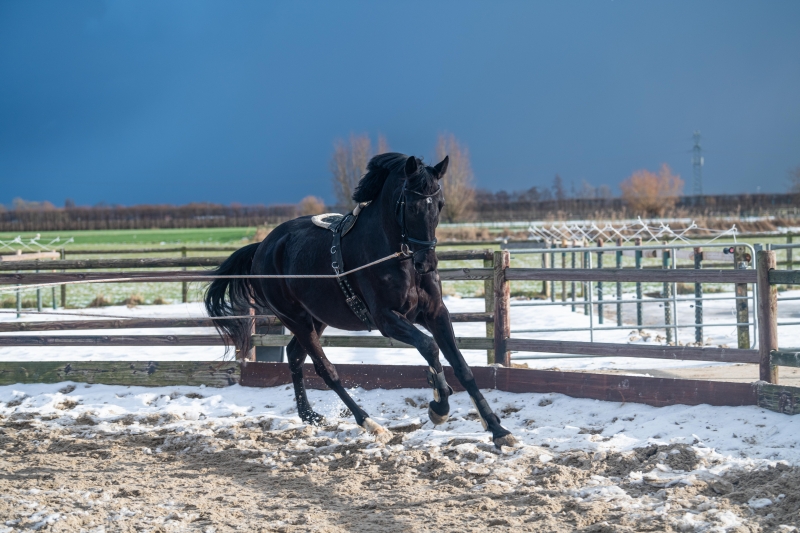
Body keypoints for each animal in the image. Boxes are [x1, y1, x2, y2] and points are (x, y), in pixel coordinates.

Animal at [206, 154, 516, 448]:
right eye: (411, 206)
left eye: (439, 204)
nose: (427, 264)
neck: (396, 257)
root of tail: (264, 246)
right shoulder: (386, 319)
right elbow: (429, 347)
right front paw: (439, 405)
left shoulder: (435, 313)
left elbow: (462, 366)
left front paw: (498, 430)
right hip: (295, 318)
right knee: (325, 369)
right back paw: (371, 424)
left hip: (316, 318)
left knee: (294, 355)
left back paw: (309, 415)